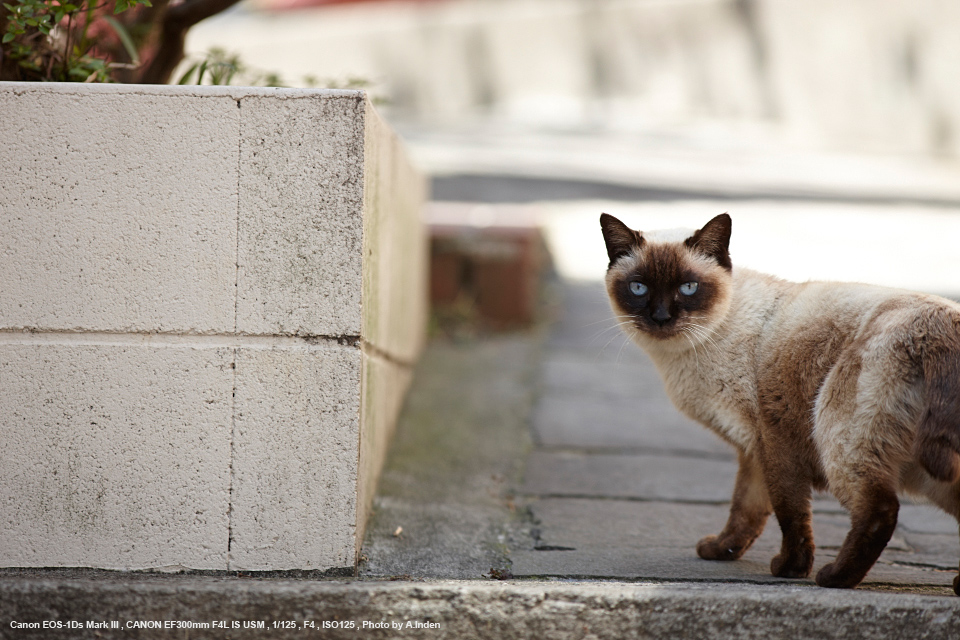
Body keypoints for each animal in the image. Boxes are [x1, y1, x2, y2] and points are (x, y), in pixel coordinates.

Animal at [600, 212, 960, 592]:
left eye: (688, 287)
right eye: (638, 288)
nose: (661, 317)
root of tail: (941, 325)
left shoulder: (773, 441)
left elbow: (788, 512)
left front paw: (790, 569)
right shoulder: (753, 448)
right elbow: (746, 509)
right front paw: (721, 550)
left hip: (838, 435)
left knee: (880, 510)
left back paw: (834, 577)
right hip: (930, 468)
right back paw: (957, 584)